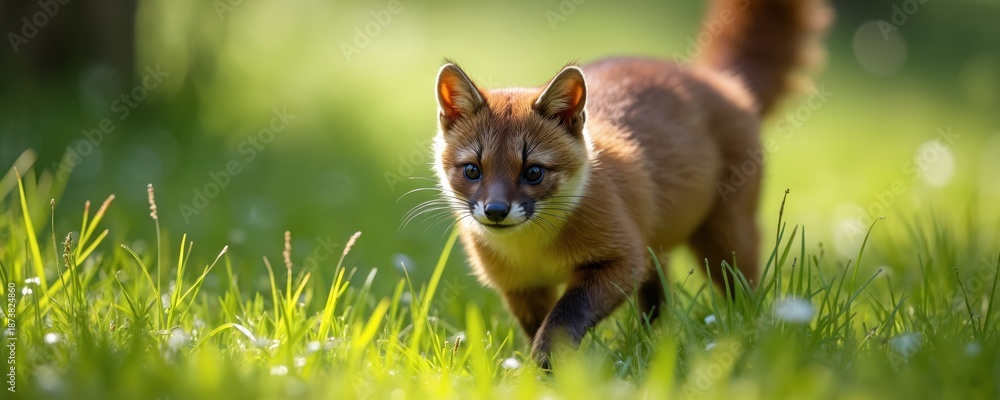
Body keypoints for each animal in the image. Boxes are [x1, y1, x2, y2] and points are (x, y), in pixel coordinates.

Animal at [430, 0, 831, 367]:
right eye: (472, 170)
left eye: (533, 172)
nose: (496, 211)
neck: (534, 249)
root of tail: (715, 80)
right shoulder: (522, 288)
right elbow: (540, 327)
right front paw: (539, 374)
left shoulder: (622, 260)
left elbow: (562, 319)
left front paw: (548, 369)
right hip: (661, 253)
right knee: (657, 307)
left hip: (724, 243)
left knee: (745, 294)